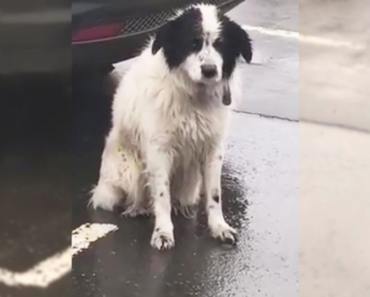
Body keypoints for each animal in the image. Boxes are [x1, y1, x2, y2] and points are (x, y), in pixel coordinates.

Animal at [91, 5, 253, 250]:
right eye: (193, 43)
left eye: (221, 44)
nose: (209, 70)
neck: (194, 96)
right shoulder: (159, 151)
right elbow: (161, 196)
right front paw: (163, 232)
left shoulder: (213, 149)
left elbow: (215, 195)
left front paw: (219, 227)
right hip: (128, 170)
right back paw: (137, 208)